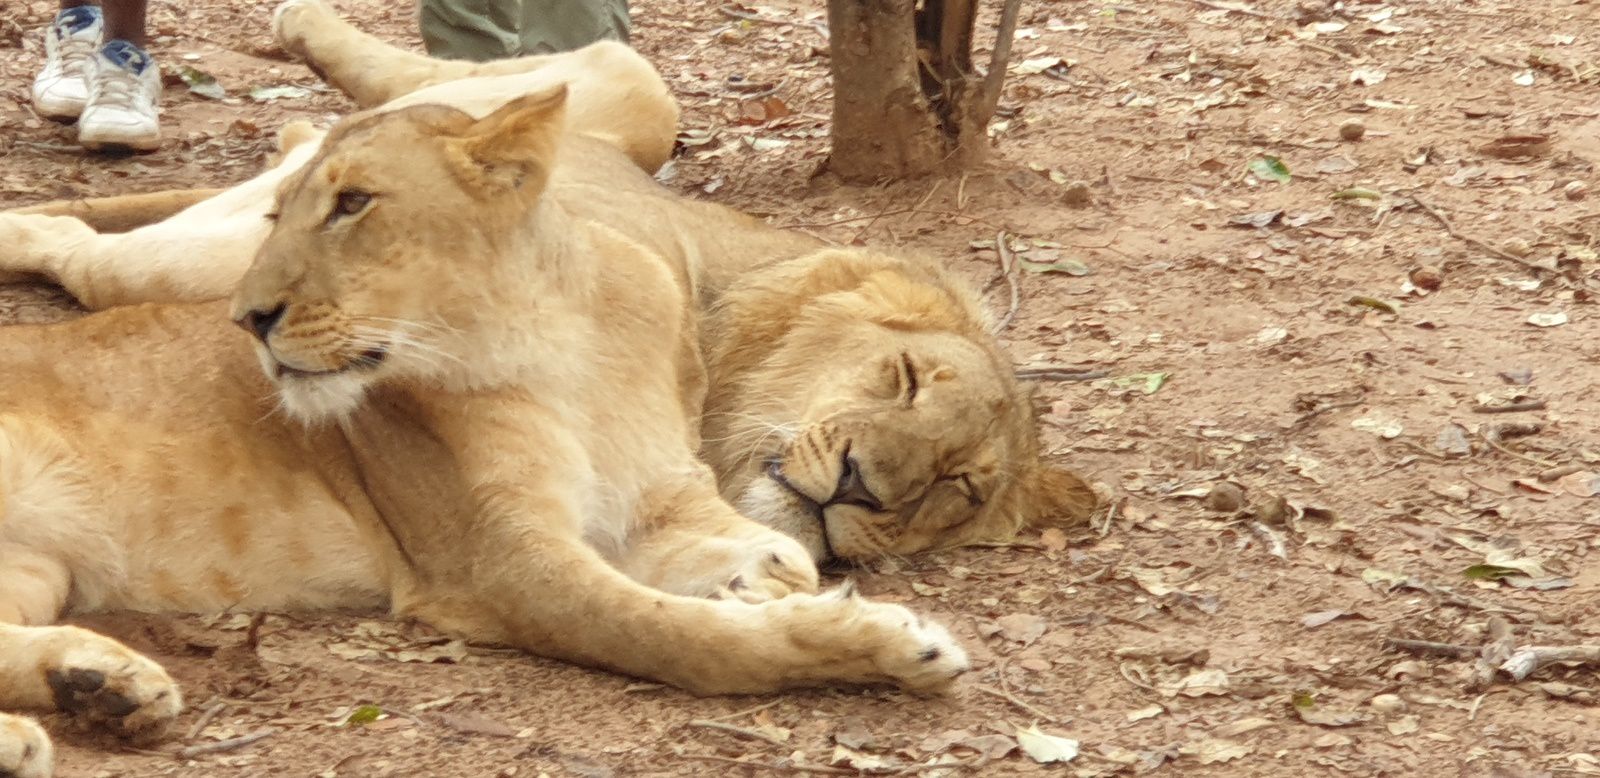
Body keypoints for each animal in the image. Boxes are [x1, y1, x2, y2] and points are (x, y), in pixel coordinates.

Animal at [0, 82, 974, 778]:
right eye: (277, 216)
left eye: (353, 204)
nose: (248, 318)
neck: (556, 343)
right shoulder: (501, 563)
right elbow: (678, 638)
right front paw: (883, 645)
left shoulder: (657, 497)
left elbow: (752, 552)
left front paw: (765, 579)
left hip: (38, 568)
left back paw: (97, 686)